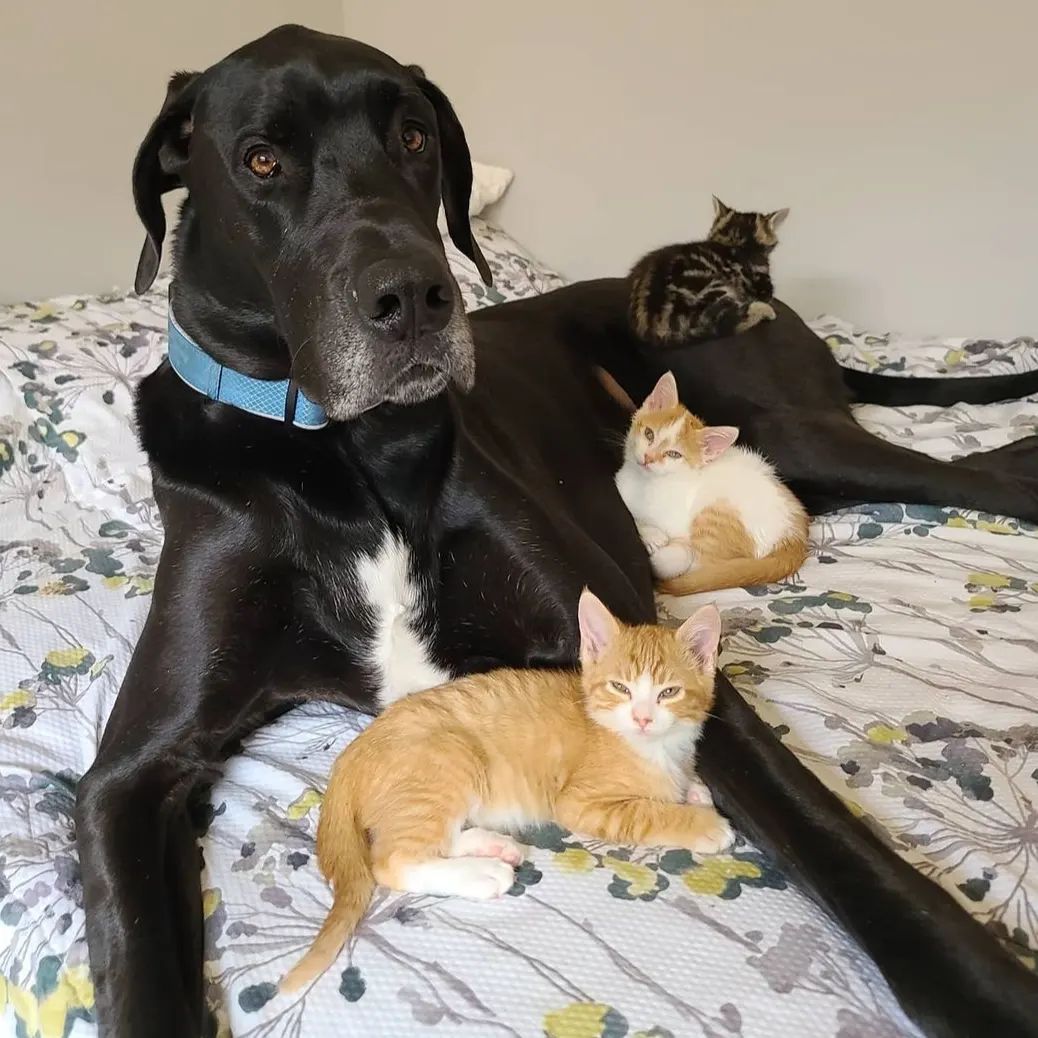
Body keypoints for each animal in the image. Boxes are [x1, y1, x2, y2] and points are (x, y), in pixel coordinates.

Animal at [282, 593, 730, 988]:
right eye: (621, 688)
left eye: (669, 692)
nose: (642, 718)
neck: (651, 746)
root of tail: (351, 754)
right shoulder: (580, 802)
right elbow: (645, 811)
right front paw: (704, 823)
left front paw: (693, 789)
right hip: (449, 758)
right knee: (393, 860)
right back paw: (483, 873)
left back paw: (494, 846)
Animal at [614, 371, 809, 597]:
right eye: (649, 434)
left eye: (674, 454)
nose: (648, 458)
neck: (648, 485)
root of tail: (795, 533)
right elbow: (633, 515)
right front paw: (651, 534)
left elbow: (684, 552)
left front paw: (657, 551)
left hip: (716, 513)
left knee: (706, 566)